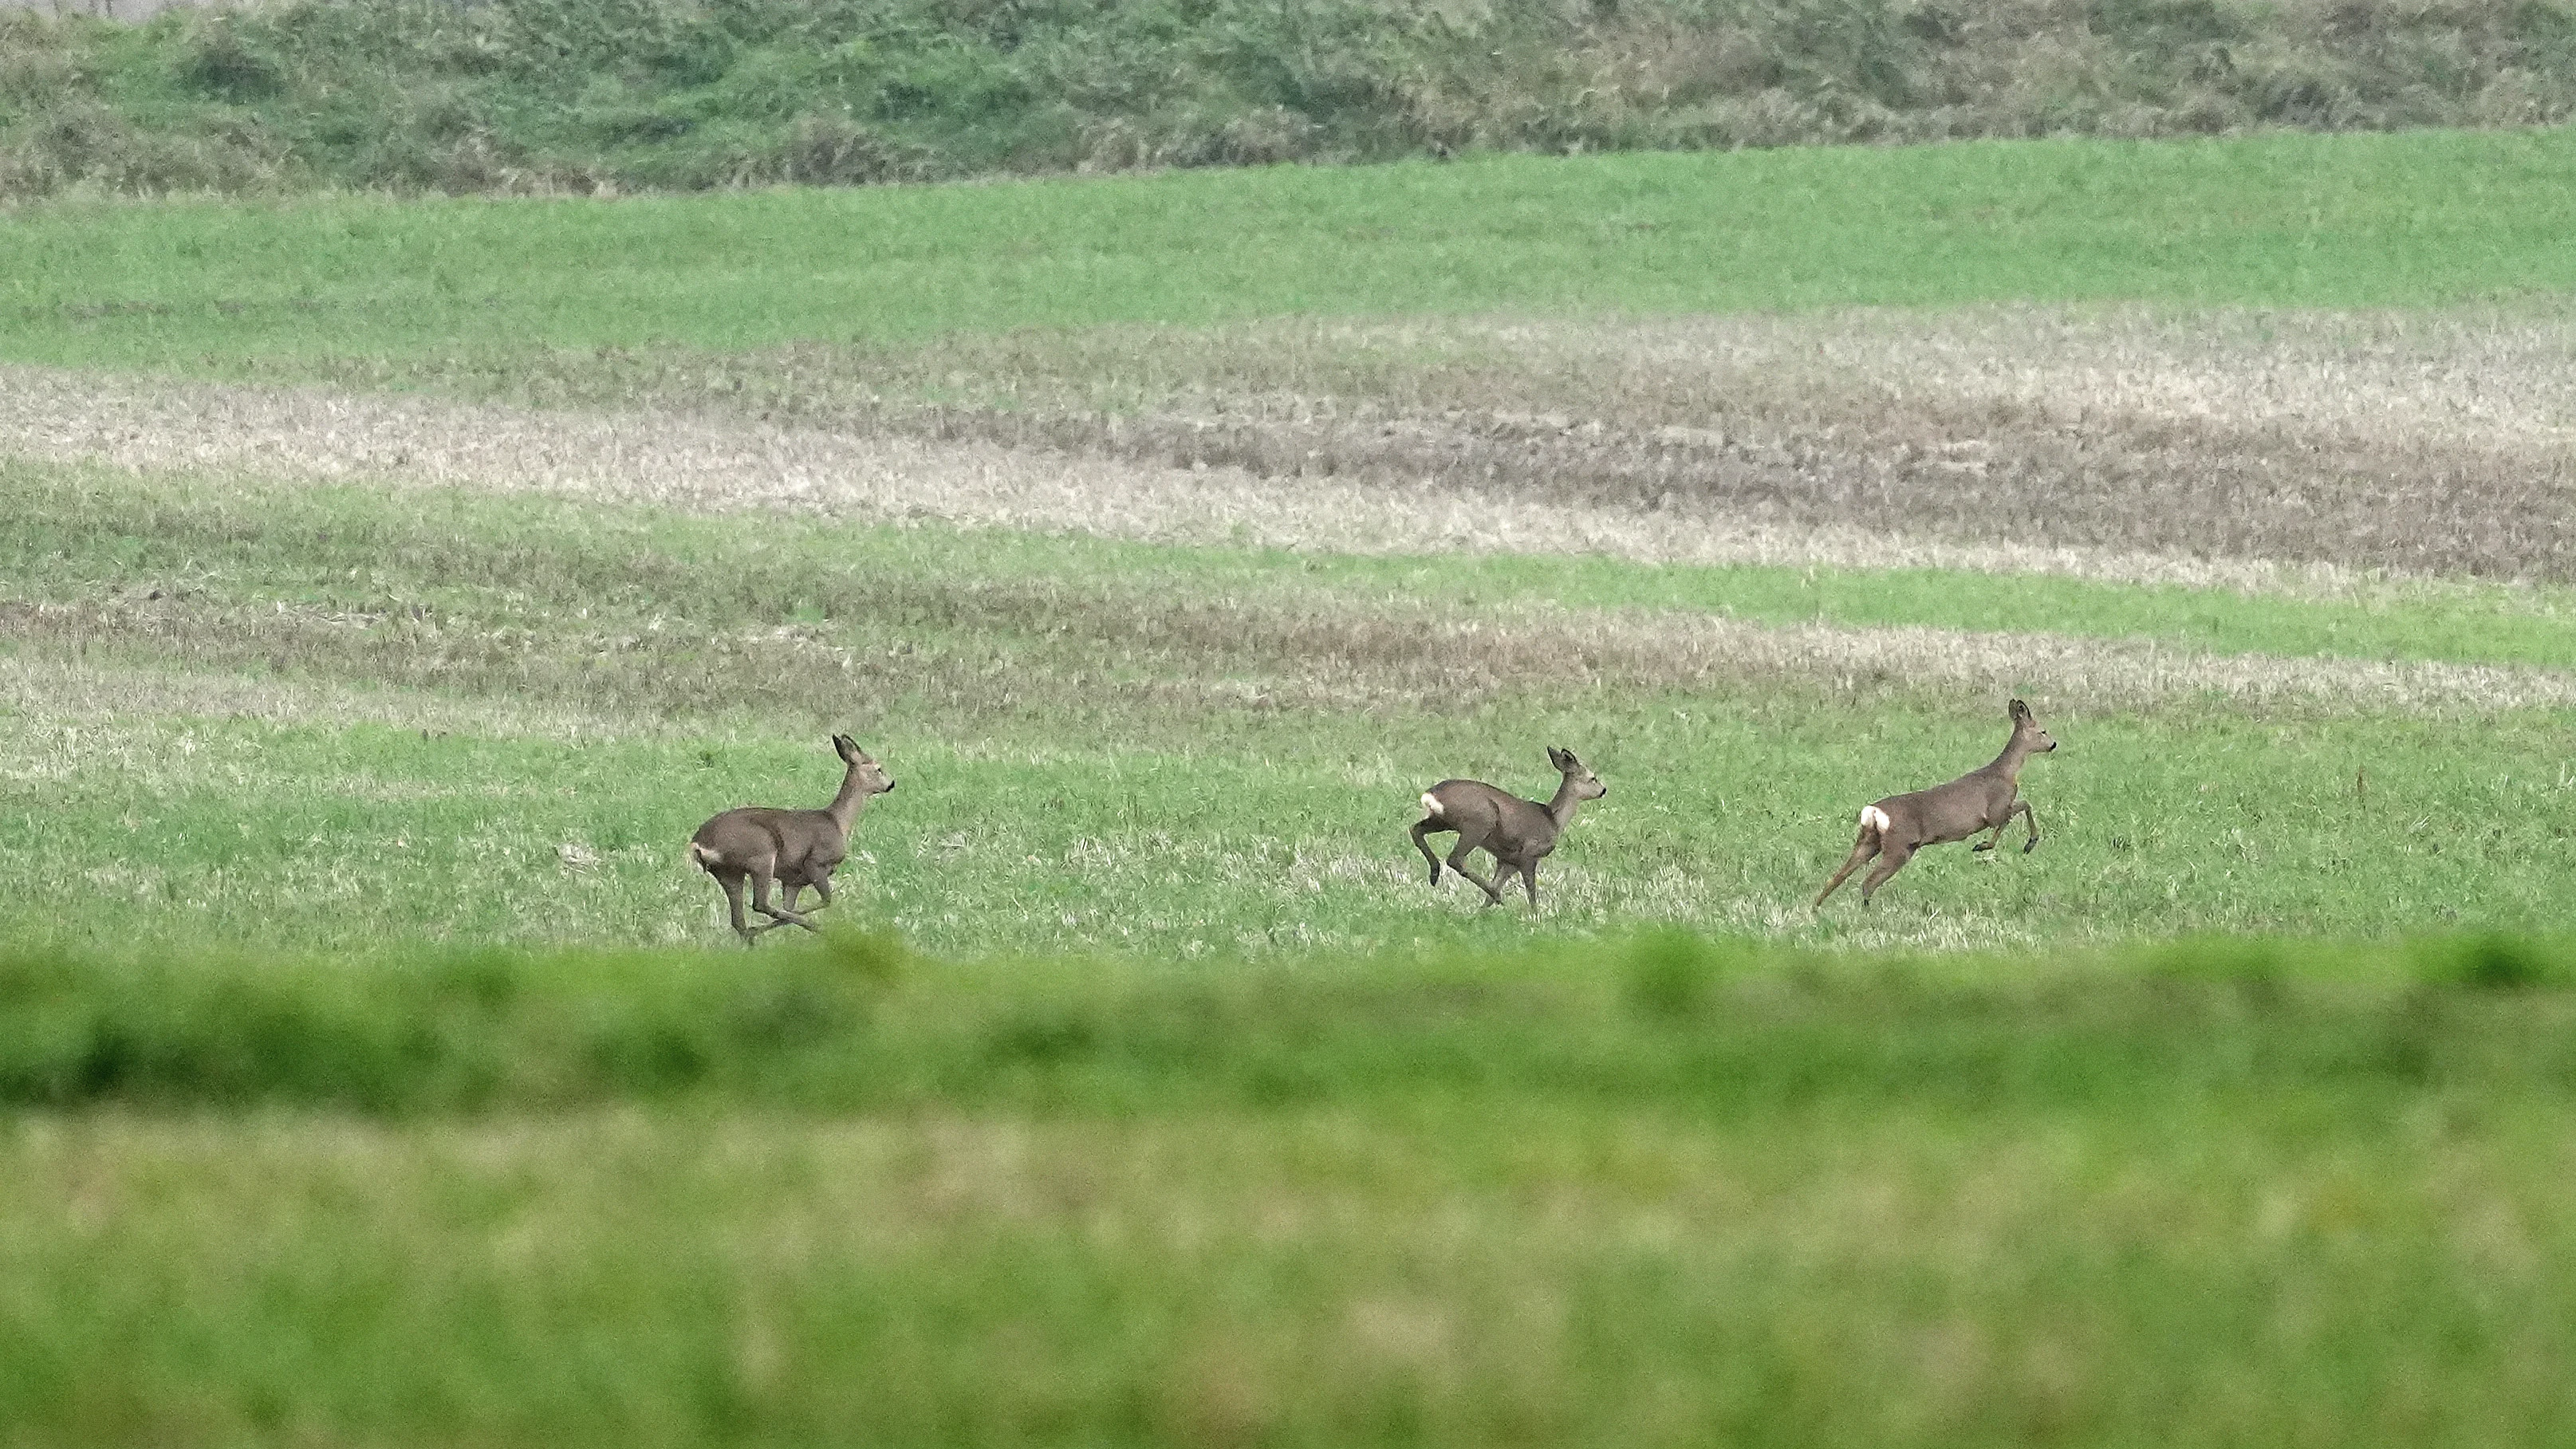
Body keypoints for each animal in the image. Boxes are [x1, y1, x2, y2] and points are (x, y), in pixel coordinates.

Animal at [687, 734, 894, 945]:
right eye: (879, 768)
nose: (891, 784)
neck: (838, 822)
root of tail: (698, 844)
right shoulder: (816, 862)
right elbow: (825, 901)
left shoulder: (793, 881)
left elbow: (789, 908)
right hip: (761, 854)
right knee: (760, 904)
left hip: (728, 873)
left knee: (739, 921)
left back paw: (752, 937)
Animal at [1411, 746, 1606, 909]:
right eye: (1593, 778)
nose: (1603, 790)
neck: (1553, 820)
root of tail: (1431, 794)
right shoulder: (1529, 853)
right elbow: (1532, 892)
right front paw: (1535, 916)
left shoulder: (1507, 861)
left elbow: (1491, 896)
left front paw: (1480, 914)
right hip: (1481, 821)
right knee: (1455, 858)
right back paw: (1496, 895)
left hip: (1442, 821)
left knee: (1415, 830)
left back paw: (1436, 874)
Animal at [1814, 699, 2058, 909]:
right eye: (2043, 731)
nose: (2053, 744)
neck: (2006, 773)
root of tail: (1873, 811)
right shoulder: (1995, 810)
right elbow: (2023, 807)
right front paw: (2018, 844)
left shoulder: (1997, 812)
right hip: (1899, 846)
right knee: (1867, 882)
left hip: (1869, 841)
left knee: (1837, 877)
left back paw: (1815, 909)